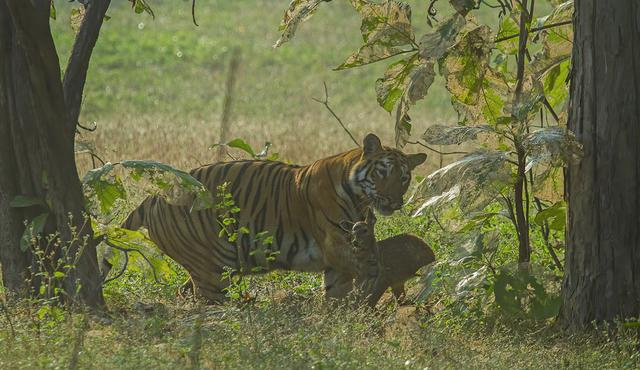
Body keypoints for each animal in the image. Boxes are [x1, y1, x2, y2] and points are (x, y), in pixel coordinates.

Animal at [113, 134, 428, 302]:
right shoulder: (335, 245)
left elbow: (338, 293)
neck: (359, 198)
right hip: (211, 270)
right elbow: (367, 268)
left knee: (184, 292)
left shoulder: (339, 260)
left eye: (404, 178)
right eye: (382, 172)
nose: (394, 201)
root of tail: (154, 196)